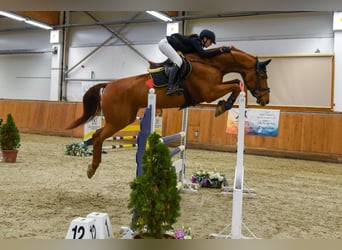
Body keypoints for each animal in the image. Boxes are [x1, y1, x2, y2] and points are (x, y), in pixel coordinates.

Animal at [67, 45, 272, 178]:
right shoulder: (209, 92)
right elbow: (235, 86)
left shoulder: (214, 89)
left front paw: (223, 105)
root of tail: (108, 85)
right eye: (262, 75)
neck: (212, 64)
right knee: (98, 136)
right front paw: (223, 106)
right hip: (119, 120)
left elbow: (235, 84)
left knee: (98, 135)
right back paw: (92, 169)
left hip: (125, 118)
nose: (266, 100)